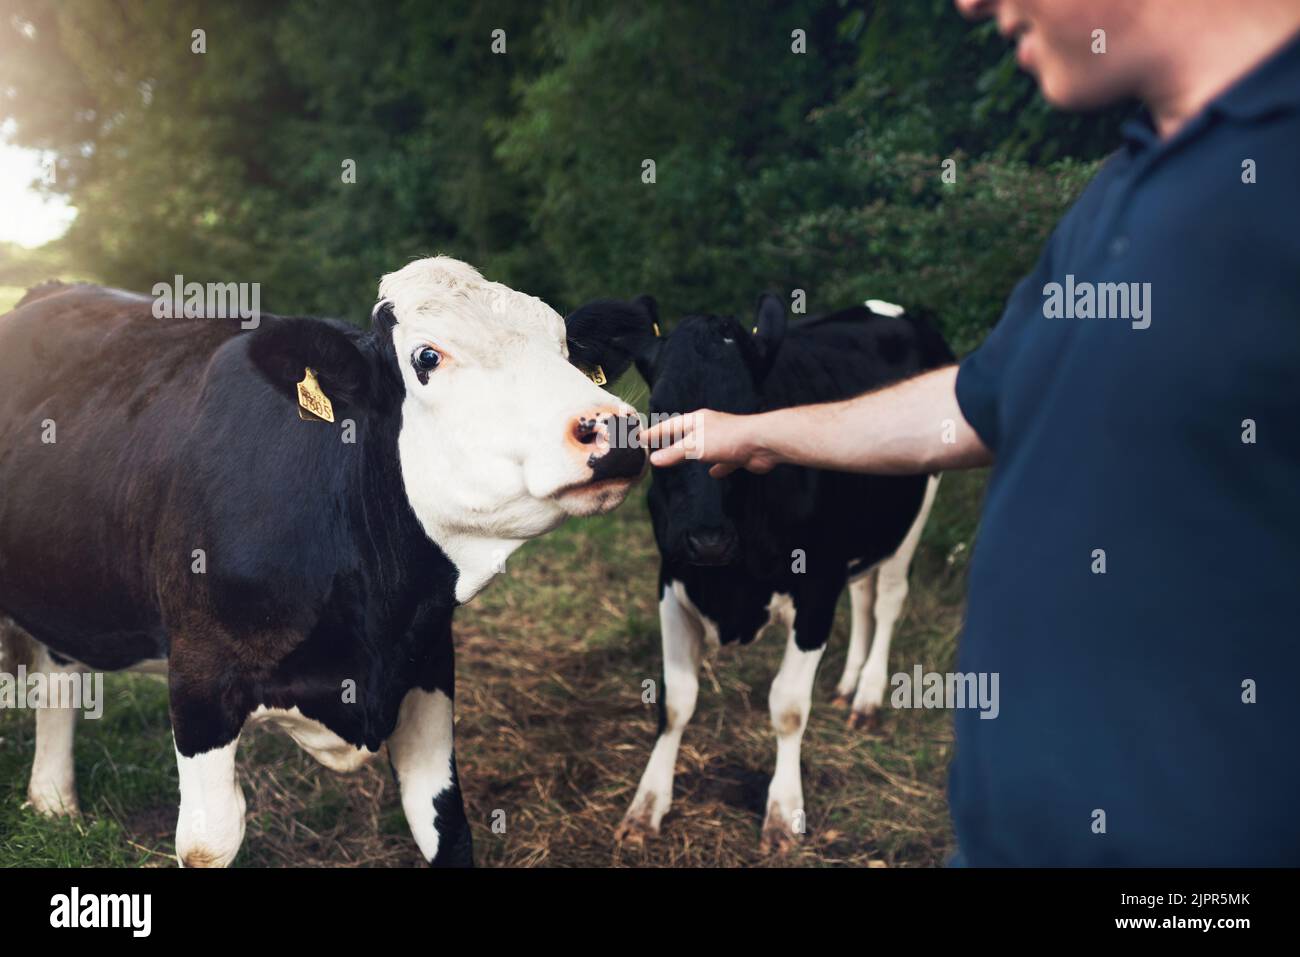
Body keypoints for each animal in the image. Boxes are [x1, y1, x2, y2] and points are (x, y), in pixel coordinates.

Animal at [0, 257, 645, 867]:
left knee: (58, 673)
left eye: (565, 348)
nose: (613, 425)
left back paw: (54, 803)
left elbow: (444, 824)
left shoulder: (428, 658)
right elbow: (210, 840)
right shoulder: (200, 676)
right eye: (427, 356)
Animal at [566, 292, 953, 850]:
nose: (708, 539)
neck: (728, 580)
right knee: (864, 594)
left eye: (751, 416)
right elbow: (677, 701)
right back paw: (848, 684)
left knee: (888, 598)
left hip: (916, 507)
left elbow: (787, 707)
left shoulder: (817, 590)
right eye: (657, 416)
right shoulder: (673, 578)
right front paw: (647, 805)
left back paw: (868, 695)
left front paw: (784, 810)